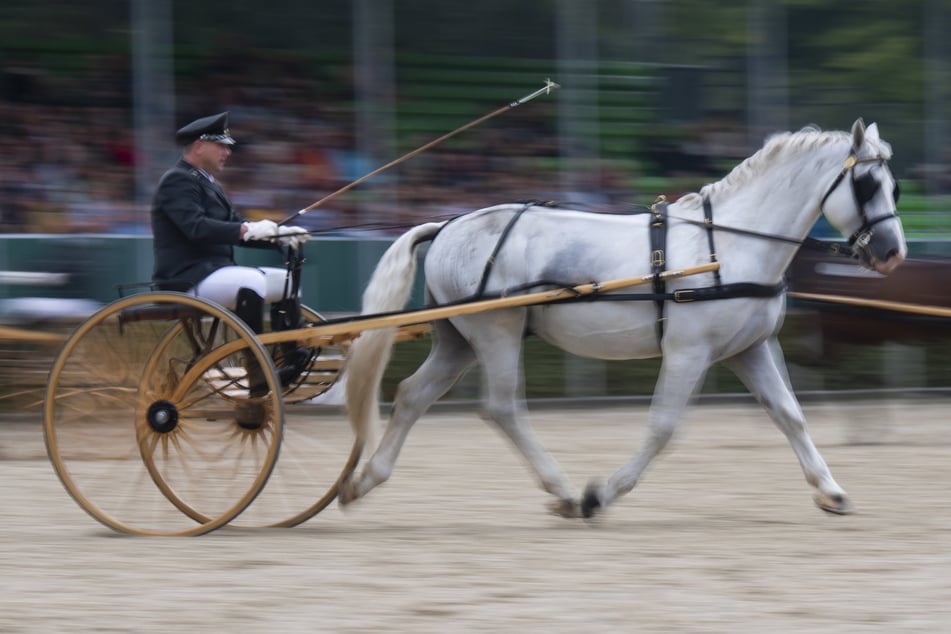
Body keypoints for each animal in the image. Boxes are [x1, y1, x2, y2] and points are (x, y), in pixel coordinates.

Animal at [340, 119, 908, 520]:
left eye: (894, 186)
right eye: (865, 183)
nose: (893, 253)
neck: (728, 245)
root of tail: (450, 223)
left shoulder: (751, 349)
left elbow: (790, 415)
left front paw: (831, 491)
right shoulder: (688, 353)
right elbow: (663, 427)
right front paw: (602, 495)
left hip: (458, 339)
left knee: (412, 394)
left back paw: (363, 480)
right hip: (497, 334)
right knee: (501, 408)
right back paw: (566, 492)